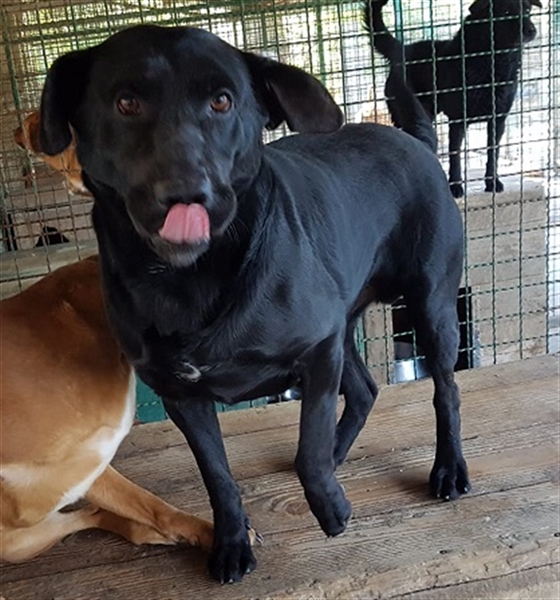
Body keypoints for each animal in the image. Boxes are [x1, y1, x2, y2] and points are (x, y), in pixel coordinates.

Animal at [38, 25, 469, 583]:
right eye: (125, 102)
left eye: (222, 101)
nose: (187, 192)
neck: (189, 279)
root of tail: (411, 138)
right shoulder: (183, 396)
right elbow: (218, 476)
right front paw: (230, 542)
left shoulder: (317, 350)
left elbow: (308, 448)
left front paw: (329, 505)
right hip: (344, 323)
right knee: (365, 389)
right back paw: (341, 450)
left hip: (431, 306)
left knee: (445, 391)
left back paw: (448, 469)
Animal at [365, 0, 541, 198]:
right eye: (505, 12)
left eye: (527, 10)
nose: (531, 30)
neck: (493, 61)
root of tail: (402, 49)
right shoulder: (457, 121)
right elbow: (455, 155)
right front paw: (455, 186)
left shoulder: (498, 121)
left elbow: (492, 154)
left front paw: (493, 181)